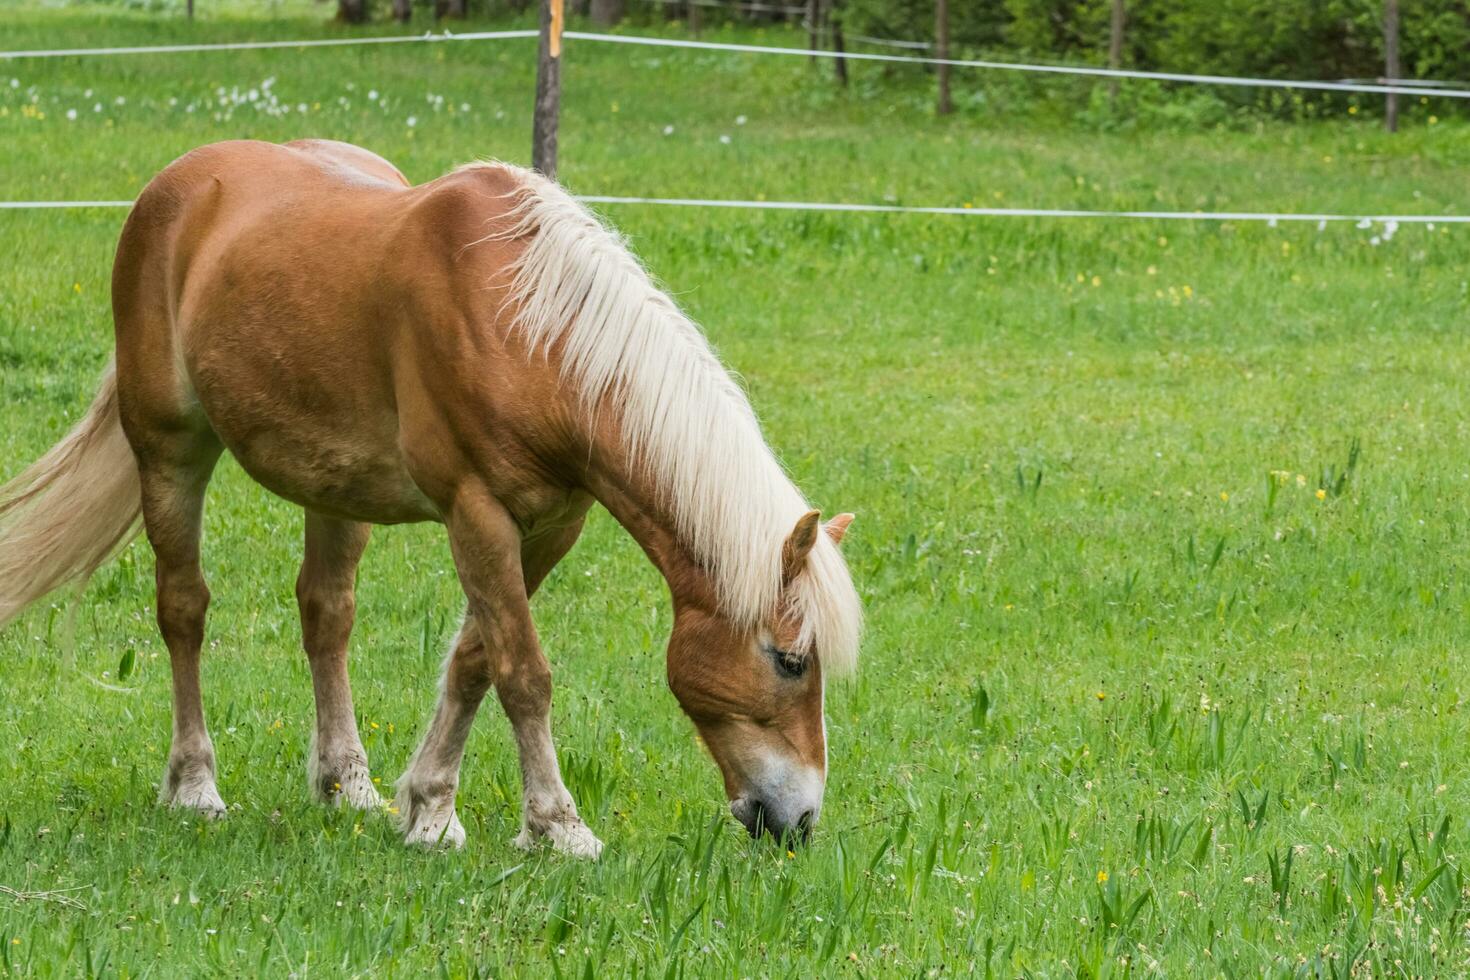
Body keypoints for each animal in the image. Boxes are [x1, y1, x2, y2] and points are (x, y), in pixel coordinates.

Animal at [0, 139, 858, 858]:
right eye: (789, 660)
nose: (800, 821)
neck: (529, 327)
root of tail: (179, 182)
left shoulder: (550, 524)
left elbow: (475, 659)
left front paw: (429, 808)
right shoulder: (476, 513)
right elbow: (523, 671)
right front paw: (556, 827)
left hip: (332, 489)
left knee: (326, 615)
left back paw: (347, 786)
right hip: (171, 450)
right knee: (183, 609)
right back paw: (194, 786)